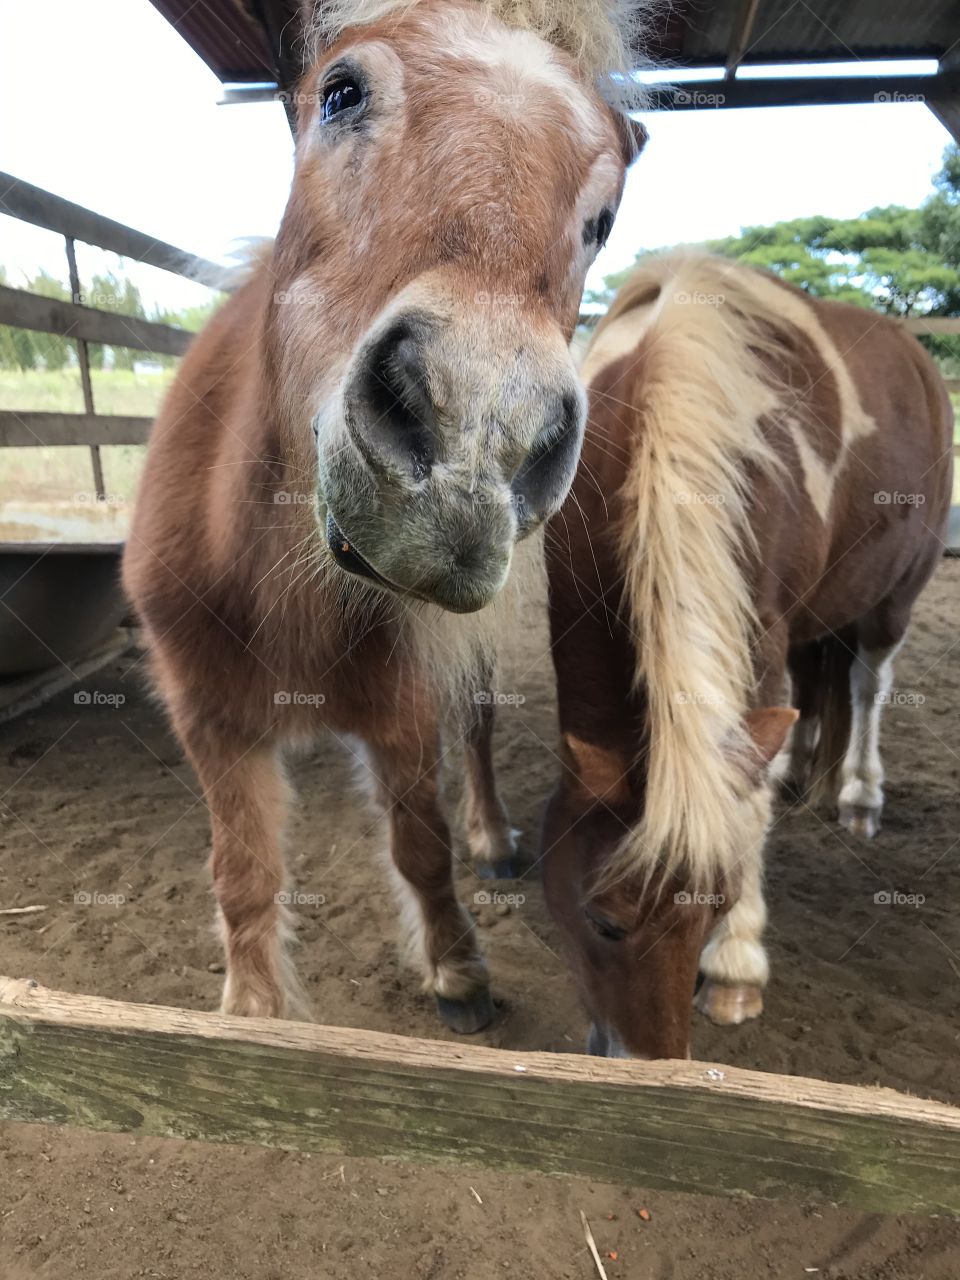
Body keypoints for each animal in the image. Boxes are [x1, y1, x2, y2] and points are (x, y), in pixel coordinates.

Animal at [122, 0, 650, 1032]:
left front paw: (456, 969)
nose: (474, 439)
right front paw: (252, 1011)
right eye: (341, 93)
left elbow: (419, 841)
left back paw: (495, 837)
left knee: (475, 735)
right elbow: (243, 870)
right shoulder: (208, 720)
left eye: (604, 218)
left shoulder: (403, 704)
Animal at [542, 252, 954, 1059]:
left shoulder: (757, 629)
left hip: (895, 595)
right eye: (604, 921)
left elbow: (746, 800)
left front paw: (736, 966)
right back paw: (804, 769)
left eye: (717, 904)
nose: (653, 1071)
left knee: (868, 683)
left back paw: (859, 795)